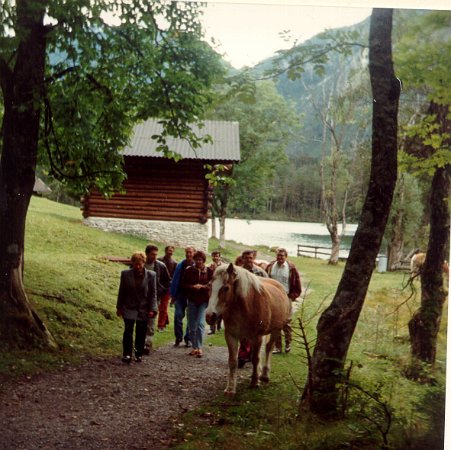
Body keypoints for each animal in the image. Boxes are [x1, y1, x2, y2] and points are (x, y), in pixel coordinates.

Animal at [206, 264, 292, 398]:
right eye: (210, 285)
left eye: (226, 288)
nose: (210, 316)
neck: (246, 306)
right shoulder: (231, 336)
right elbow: (233, 361)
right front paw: (230, 389)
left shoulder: (257, 337)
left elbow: (256, 359)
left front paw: (255, 382)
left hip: (275, 330)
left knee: (268, 348)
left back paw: (264, 375)